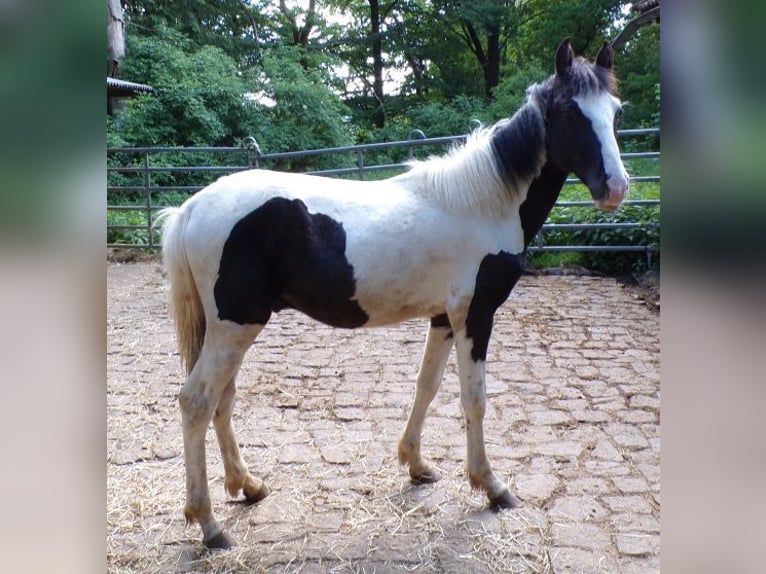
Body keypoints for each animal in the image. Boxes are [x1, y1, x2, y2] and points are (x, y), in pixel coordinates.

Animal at [158, 38, 629, 549]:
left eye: (616, 111)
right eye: (569, 111)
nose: (616, 188)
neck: (483, 204)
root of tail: (191, 207)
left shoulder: (444, 317)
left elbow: (427, 385)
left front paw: (416, 463)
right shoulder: (476, 315)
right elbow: (474, 398)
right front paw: (491, 485)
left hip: (232, 329)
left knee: (221, 400)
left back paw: (247, 485)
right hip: (236, 326)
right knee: (197, 402)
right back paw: (209, 524)